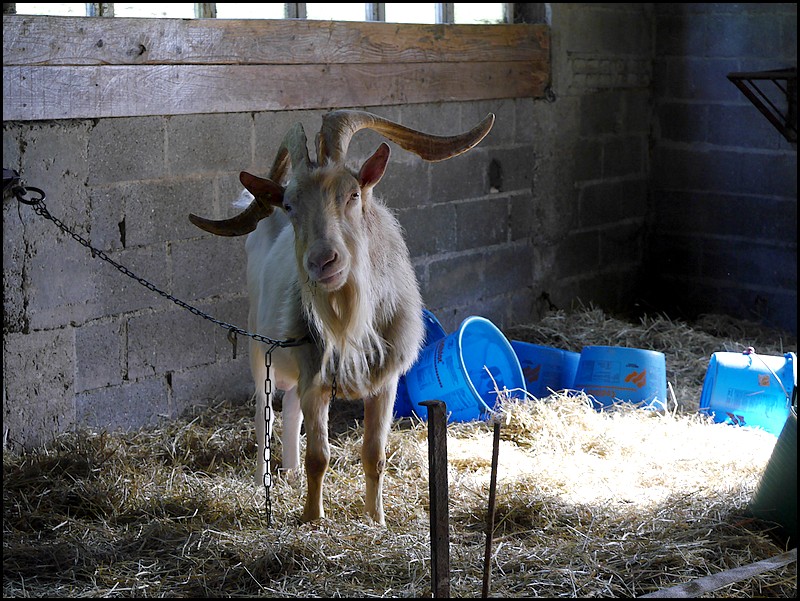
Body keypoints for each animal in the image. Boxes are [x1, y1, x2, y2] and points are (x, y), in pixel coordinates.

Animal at [190, 110, 494, 524]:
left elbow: (374, 454)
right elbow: (319, 456)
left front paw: (376, 519)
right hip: (258, 346)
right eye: (291, 205)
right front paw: (311, 519)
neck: (348, 319)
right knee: (263, 411)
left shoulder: (384, 381)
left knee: (290, 411)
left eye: (352, 194)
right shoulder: (315, 378)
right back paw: (262, 479)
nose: (323, 261)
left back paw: (290, 472)